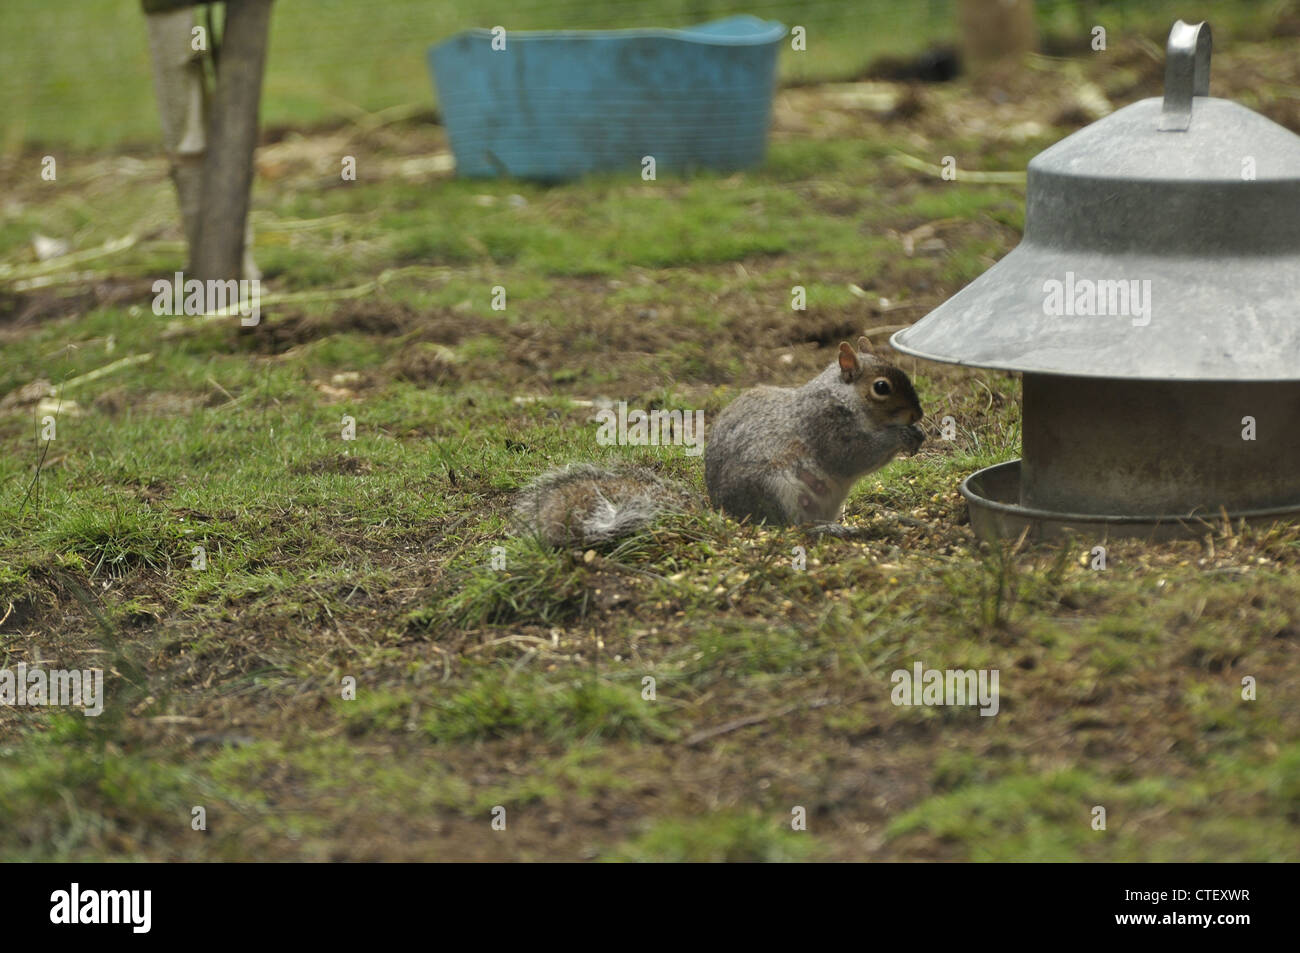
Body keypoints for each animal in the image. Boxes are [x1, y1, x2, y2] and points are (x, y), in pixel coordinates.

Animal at [514, 340, 925, 551]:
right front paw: (902, 436)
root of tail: (730, 516)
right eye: (882, 387)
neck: (845, 398)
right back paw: (826, 530)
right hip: (779, 487)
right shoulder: (826, 426)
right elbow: (852, 456)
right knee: (790, 528)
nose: (918, 413)